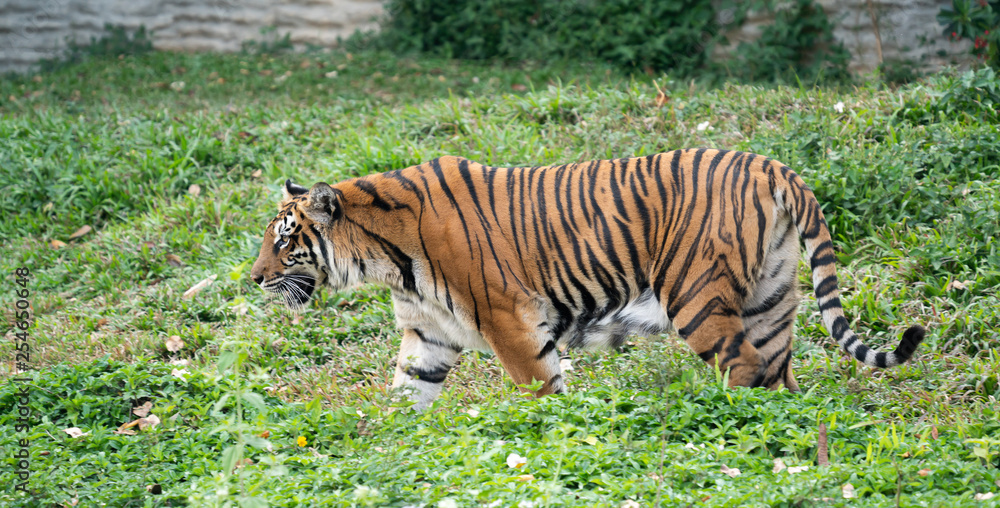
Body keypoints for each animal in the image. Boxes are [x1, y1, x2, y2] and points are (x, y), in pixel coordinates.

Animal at [250, 148, 920, 408]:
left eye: (283, 241)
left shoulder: (509, 322)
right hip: (770, 297)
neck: (388, 260)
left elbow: (541, 391)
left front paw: (554, 435)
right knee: (779, 374)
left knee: (745, 368)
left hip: (696, 297)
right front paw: (386, 445)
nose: (255, 279)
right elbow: (406, 395)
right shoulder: (427, 335)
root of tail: (773, 165)